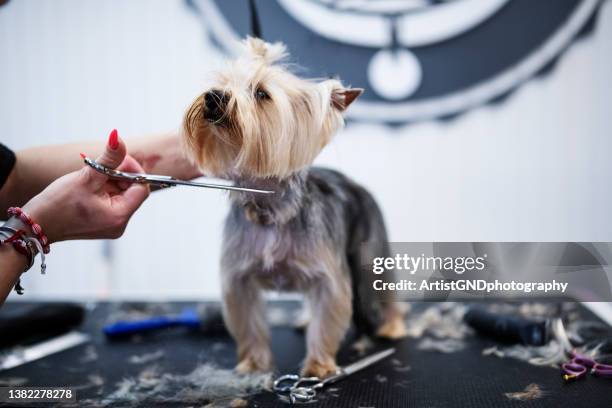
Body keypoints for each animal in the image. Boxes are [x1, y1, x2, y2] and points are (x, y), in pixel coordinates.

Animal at [184, 38, 408, 380]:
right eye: (222, 83)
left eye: (261, 93)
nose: (213, 96)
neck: (270, 209)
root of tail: (354, 183)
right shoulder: (239, 279)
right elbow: (249, 324)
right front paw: (253, 365)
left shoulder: (328, 276)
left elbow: (326, 321)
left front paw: (318, 366)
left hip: (371, 247)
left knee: (382, 288)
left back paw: (393, 325)